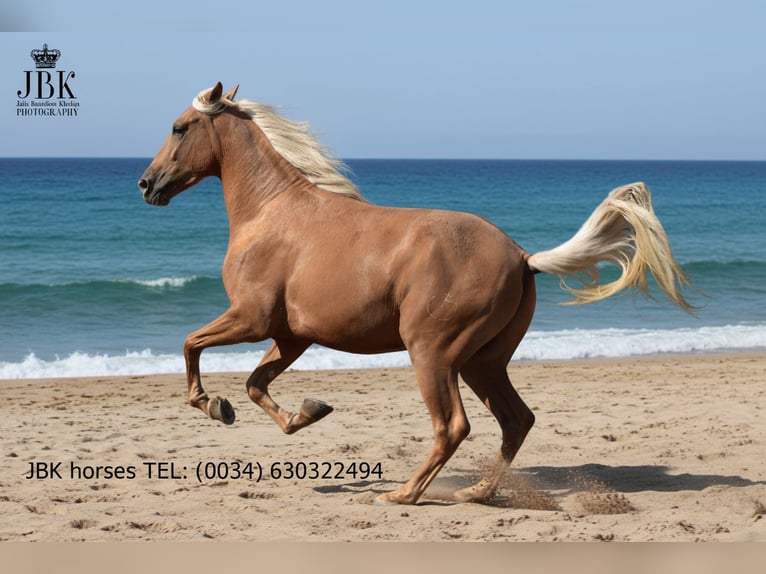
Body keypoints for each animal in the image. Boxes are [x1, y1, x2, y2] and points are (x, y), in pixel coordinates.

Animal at [138, 82, 693, 505]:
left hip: (433, 352)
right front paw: (304, 412)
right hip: (482, 362)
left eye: (179, 127)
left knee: (453, 426)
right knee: (517, 420)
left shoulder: (251, 318)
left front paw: (212, 404)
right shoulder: (292, 336)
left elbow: (191, 344)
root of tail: (521, 256)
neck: (274, 213)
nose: (147, 184)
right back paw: (477, 493)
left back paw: (405, 494)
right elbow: (256, 385)